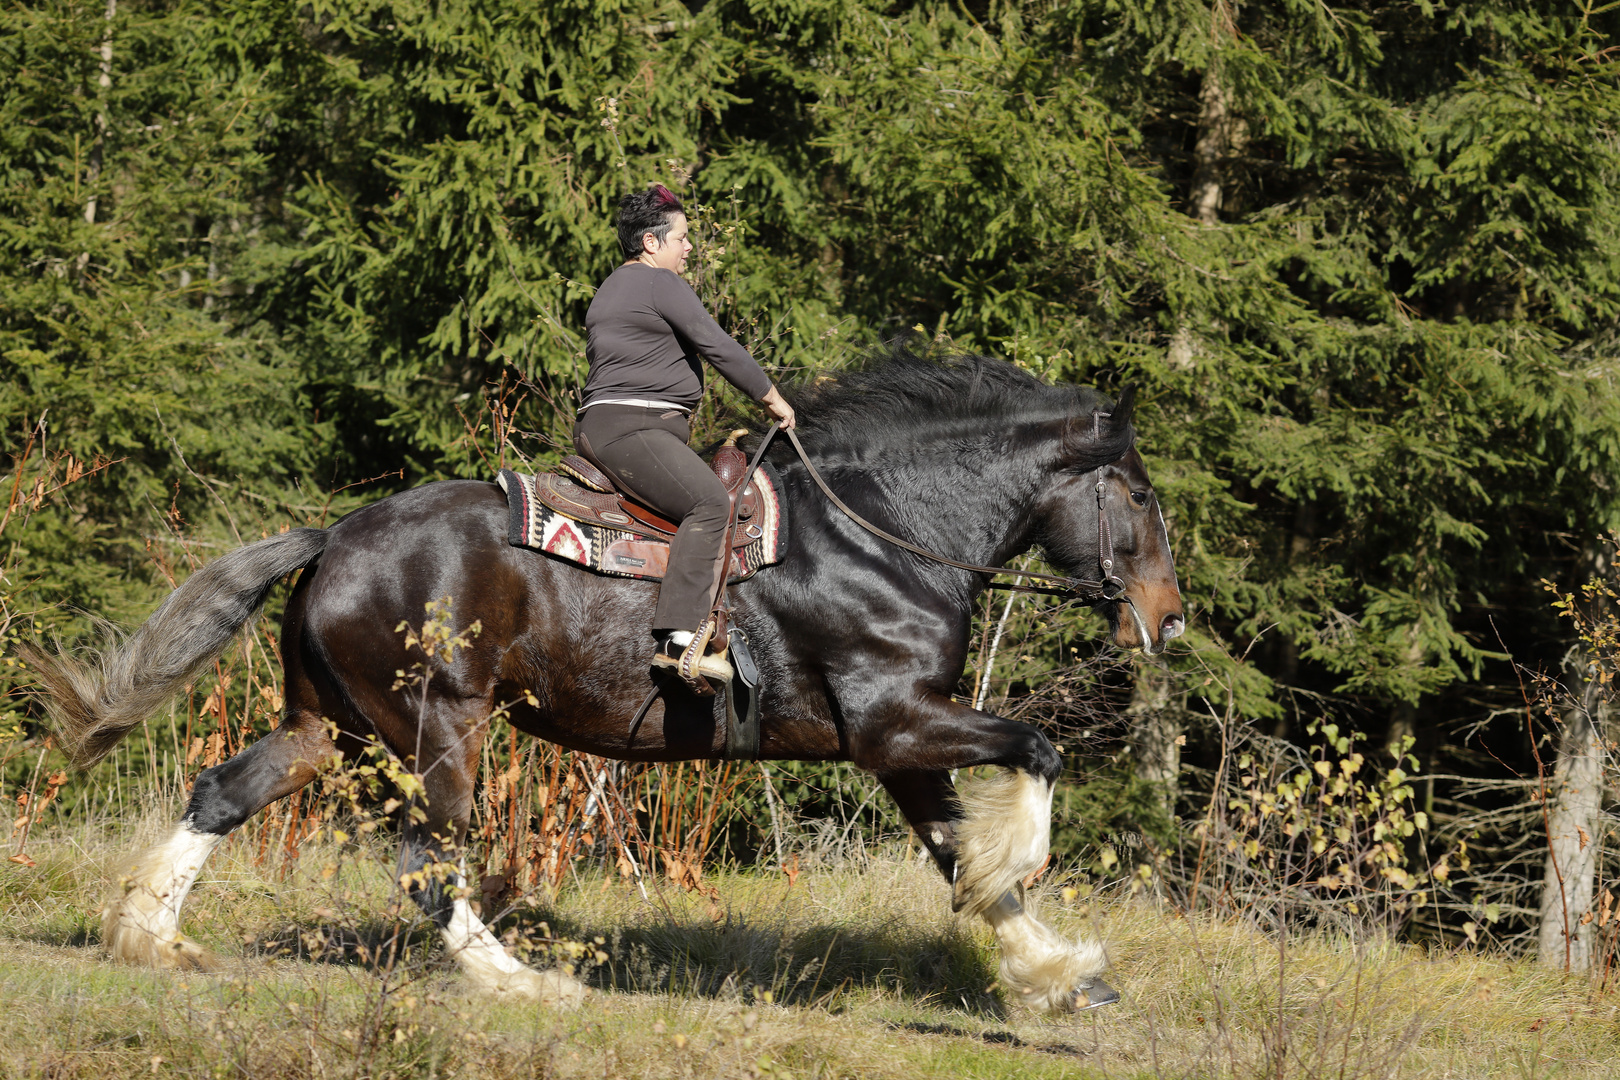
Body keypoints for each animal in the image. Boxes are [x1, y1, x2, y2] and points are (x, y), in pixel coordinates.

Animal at [31, 352, 1185, 1016]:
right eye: (1136, 494)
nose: (1170, 619)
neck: (881, 533)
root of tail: (336, 538)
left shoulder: (905, 746)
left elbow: (961, 863)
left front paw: (1053, 971)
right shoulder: (892, 726)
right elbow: (1036, 755)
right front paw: (1030, 889)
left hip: (332, 726)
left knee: (223, 792)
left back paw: (150, 936)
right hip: (440, 732)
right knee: (424, 869)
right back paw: (523, 982)